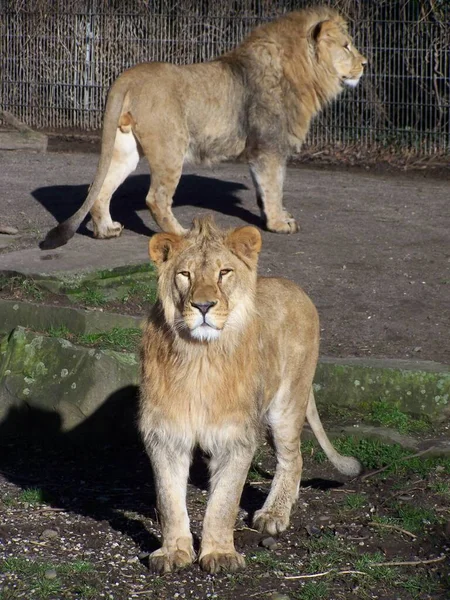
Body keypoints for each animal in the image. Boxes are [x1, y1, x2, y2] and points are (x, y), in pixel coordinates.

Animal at [41, 5, 366, 248]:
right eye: (347, 46)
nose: (365, 64)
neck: (302, 73)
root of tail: (127, 77)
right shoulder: (269, 146)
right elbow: (274, 186)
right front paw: (278, 224)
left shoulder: (260, 150)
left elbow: (264, 188)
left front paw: (273, 217)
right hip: (171, 147)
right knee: (156, 199)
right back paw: (182, 235)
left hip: (126, 147)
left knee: (100, 189)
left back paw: (106, 230)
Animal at [139, 217, 360, 576]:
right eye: (185, 274)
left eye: (224, 272)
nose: (203, 305)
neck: (200, 357)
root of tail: (293, 286)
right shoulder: (165, 434)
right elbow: (169, 500)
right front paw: (173, 552)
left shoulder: (236, 437)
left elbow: (224, 502)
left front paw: (219, 553)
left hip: (285, 406)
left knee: (293, 458)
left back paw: (273, 515)